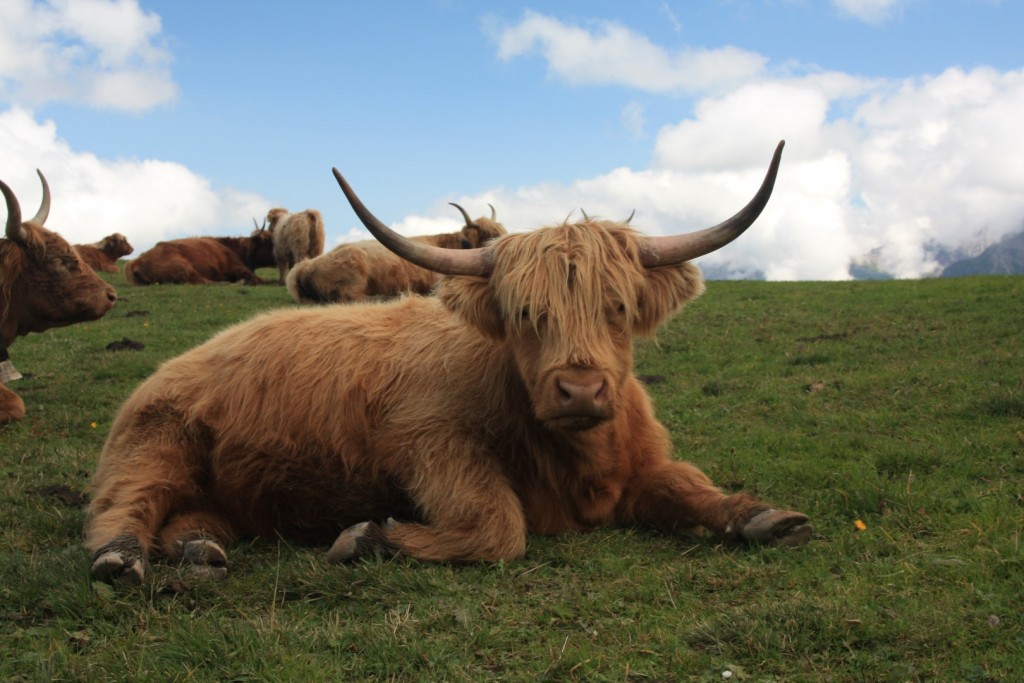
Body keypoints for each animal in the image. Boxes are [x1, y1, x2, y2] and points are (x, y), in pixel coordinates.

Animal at [123, 228, 274, 284]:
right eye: (269, 242)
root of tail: (136, 262)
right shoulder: (237, 268)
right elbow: (257, 278)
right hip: (185, 268)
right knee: (202, 281)